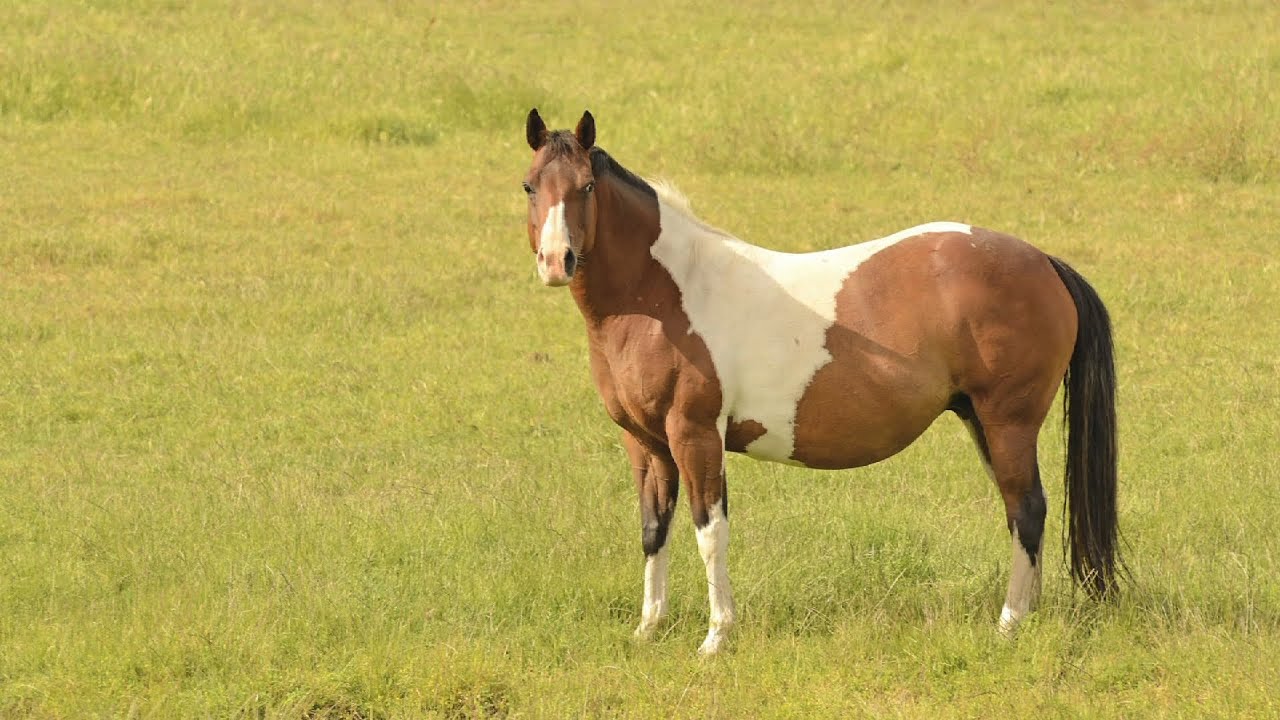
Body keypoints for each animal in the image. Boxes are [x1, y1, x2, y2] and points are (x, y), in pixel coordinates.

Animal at [520, 109, 1120, 655]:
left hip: (1008, 422)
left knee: (1028, 508)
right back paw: (1027, 614)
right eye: (529, 186)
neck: (667, 292)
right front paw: (649, 629)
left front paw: (715, 637)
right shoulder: (646, 443)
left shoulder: (695, 435)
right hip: (982, 421)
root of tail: (1042, 260)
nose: (556, 261)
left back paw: (1009, 624)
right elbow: (654, 529)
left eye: (587, 186)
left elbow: (709, 531)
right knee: (1022, 512)